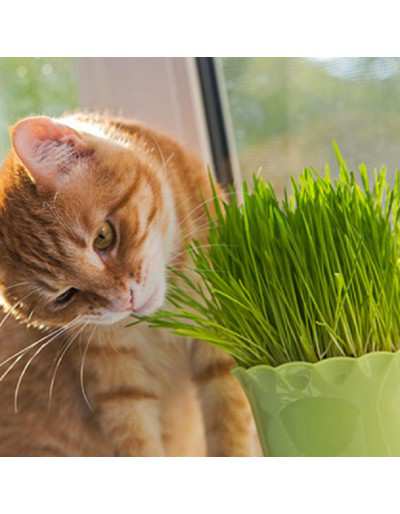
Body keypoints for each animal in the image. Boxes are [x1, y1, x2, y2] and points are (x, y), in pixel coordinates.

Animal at [0, 112, 256, 452]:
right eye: (65, 296)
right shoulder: (118, 385)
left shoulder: (222, 339)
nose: (125, 300)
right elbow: (138, 441)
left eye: (103, 237)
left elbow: (230, 427)